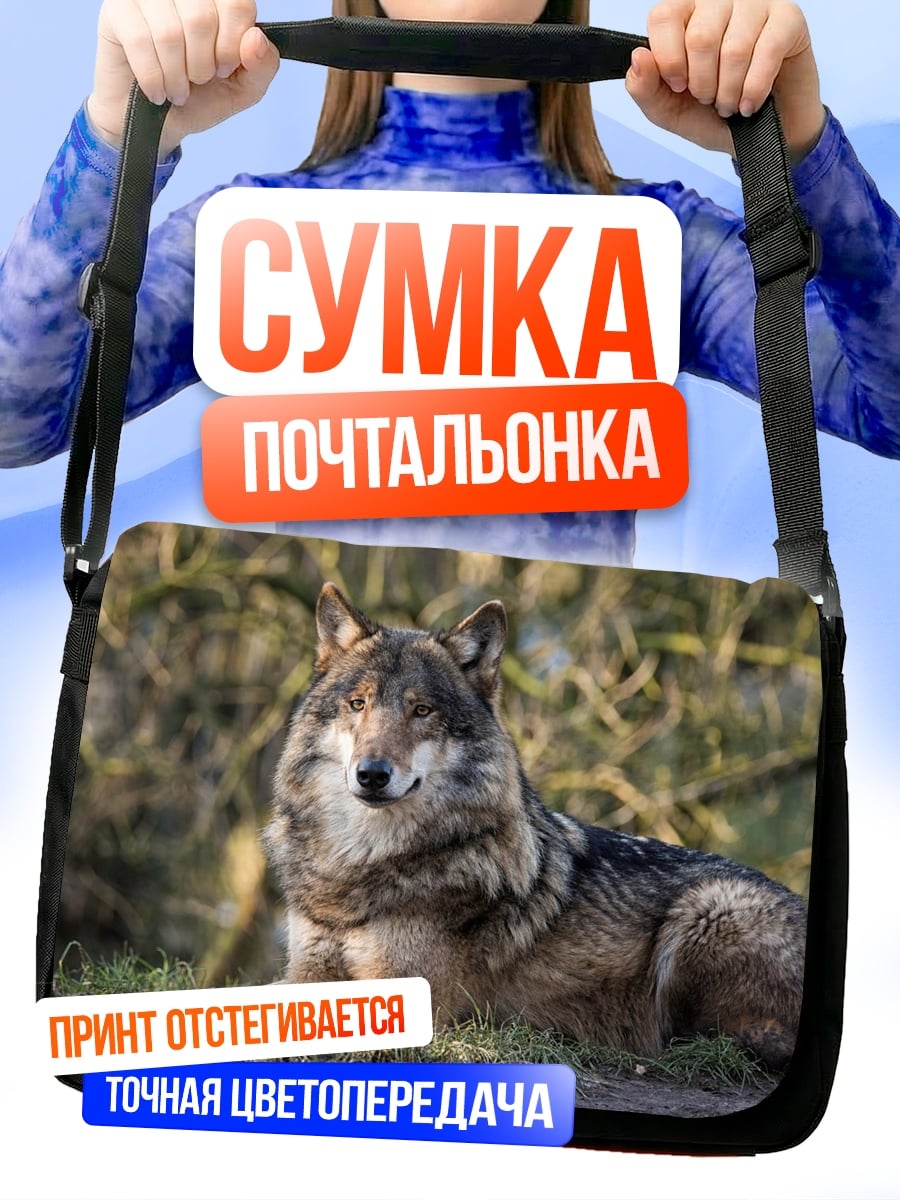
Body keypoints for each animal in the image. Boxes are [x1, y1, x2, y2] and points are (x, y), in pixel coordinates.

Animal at [264, 583, 807, 1071]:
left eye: (422, 710)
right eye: (359, 704)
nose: (372, 774)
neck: (364, 865)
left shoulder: (400, 992)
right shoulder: (308, 967)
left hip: (710, 907)